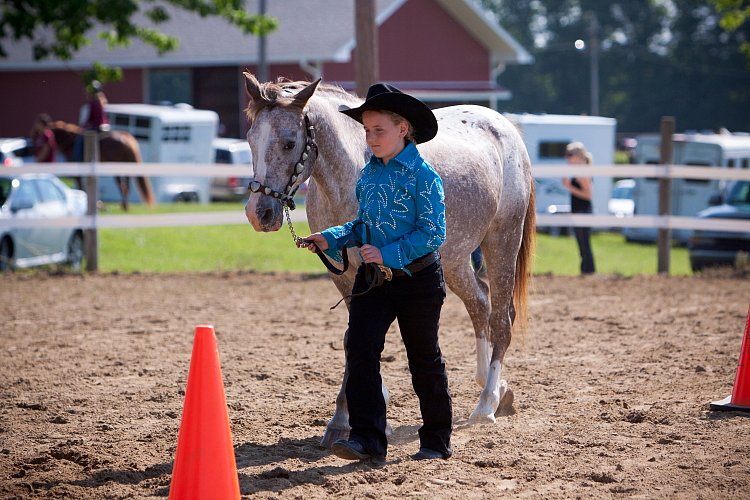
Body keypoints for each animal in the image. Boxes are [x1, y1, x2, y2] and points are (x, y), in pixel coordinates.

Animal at [242, 74, 536, 450]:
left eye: (289, 142)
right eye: (251, 139)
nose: (259, 213)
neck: (353, 172)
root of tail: (504, 126)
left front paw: (345, 419)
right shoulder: (344, 275)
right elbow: (355, 338)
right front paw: (351, 418)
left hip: (502, 242)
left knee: (501, 318)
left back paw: (486, 405)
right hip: (455, 261)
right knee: (480, 306)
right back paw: (496, 388)